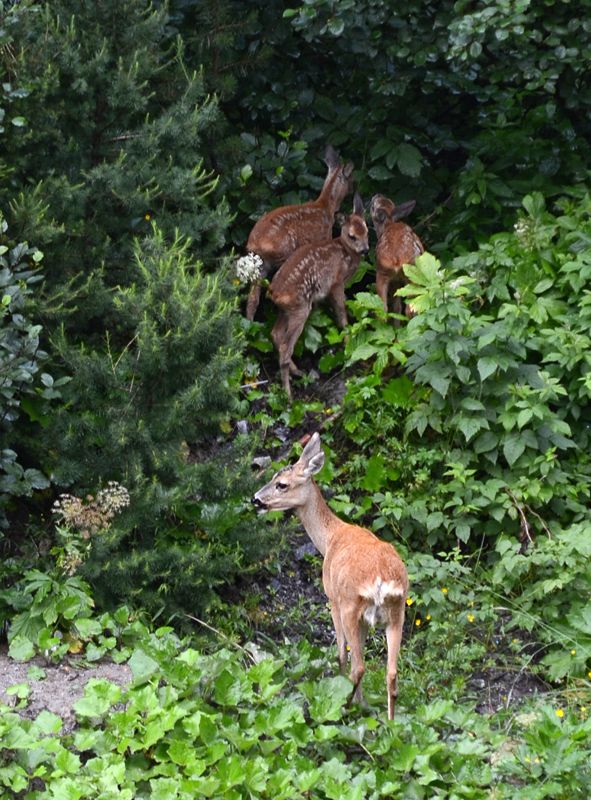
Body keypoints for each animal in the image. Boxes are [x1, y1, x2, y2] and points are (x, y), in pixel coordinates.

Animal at [244, 145, 354, 320]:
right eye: (351, 178)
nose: (354, 189)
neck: (326, 207)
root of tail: (254, 243)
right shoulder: (324, 237)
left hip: (260, 263)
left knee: (253, 298)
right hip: (284, 253)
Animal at [252, 434, 410, 720]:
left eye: (282, 484)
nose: (255, 500)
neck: (330, 538)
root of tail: (381, 581)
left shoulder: (332, 599)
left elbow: (341, 653)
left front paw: (349, 698)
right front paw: (363, 703)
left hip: (350, 605)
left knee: (358, 666)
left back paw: (344, 709)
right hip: (397, 612)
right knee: (391, 673)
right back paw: (390, 725)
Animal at [270, 191, 370, 404]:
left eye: (367, 230)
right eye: (352, 236)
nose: (365, 250)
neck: (346, 254)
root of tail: (274, 293)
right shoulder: (336, 283)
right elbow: (341, 314)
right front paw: (348, 345)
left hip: (287, 309)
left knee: (275, 334)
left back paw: (297, 372)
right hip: (299, 308)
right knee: (285, 346)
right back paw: (289, 396)